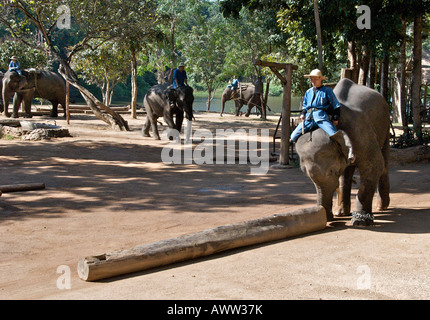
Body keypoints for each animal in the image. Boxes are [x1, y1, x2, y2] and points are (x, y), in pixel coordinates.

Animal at [296, 78, 390, 226]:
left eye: (332, 171)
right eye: (307, 174)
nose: (327, 219)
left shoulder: (360, 133)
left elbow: (373, 166)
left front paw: (359, 221)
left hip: (385, 125)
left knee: (384, 161)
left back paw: (381, 207)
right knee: (347, 172)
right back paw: (340, 212)